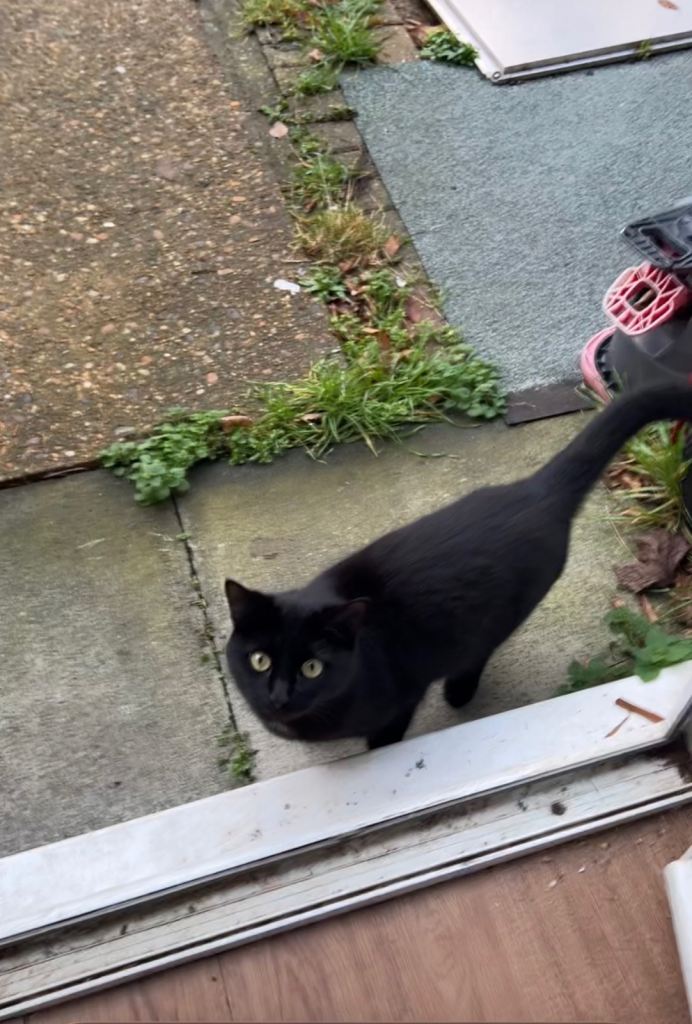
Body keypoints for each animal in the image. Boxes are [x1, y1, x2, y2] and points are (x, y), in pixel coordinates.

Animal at [225, 385, 692, 750]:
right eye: (260, 661)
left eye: (312, 668)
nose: (278, 697)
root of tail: (535, 491)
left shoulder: (401, 695)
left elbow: (386, 734)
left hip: (498, 616)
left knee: (477, 649)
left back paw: (458, 692)